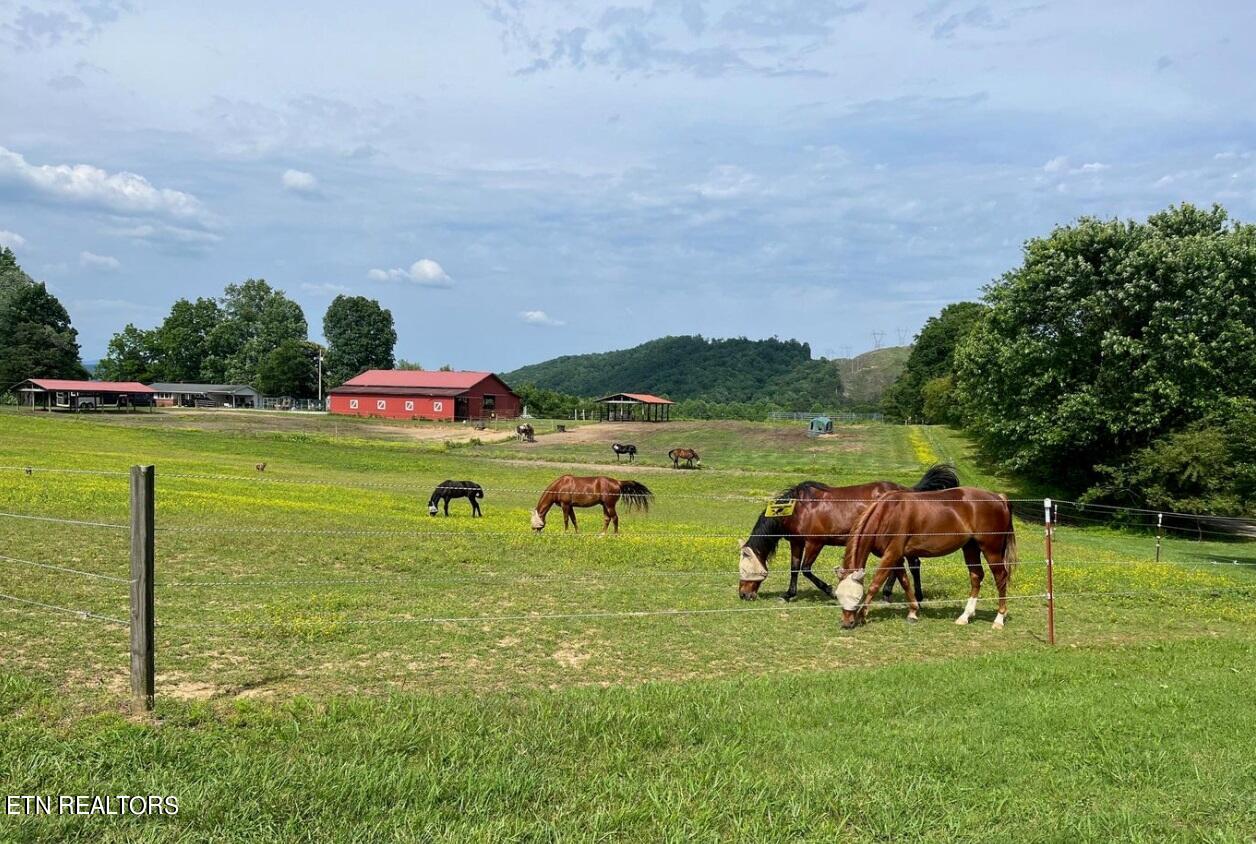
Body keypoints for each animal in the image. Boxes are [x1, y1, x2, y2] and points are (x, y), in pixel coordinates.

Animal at [733, 464, 959, 602]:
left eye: (743, 569)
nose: (743, 595)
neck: (799, 508)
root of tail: (909, 492)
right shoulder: (797, 542)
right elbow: (795, 568)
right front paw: (789, 594)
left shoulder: (815, 543)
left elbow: (806, 569)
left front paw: (831, 591)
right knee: (902, 565)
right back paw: (889, 594)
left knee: (912, 564)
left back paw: (914, 596)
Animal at [833, 484, 1019, 630]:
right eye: (838, 596)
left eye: (855, 597)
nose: (847, 623)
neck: (888, 512)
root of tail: (999, 497)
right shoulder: (897, 557)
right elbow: (905, 582)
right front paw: (913, 612)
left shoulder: (891, 554)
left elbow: (875, 584)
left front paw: (862, 615)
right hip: (971, 548)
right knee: (976, 576)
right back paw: (965, 616)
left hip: (991, 550)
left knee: (1001, 577)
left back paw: (998, 619)